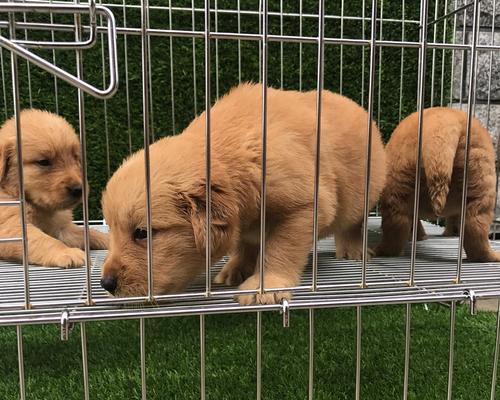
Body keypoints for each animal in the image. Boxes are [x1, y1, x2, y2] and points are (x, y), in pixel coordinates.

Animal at [99, 83, 384, 304]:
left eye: (142, 233)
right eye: (111, 229)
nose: (106, 284)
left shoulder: (306, 204)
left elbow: (280, 247)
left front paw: (265, 286)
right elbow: (245, 242)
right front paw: (235, 268)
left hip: (366, 191)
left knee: (353, 223)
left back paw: (353, 250)